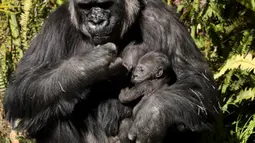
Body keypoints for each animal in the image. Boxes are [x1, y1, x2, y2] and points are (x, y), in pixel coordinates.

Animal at [2, 0, 220, 143]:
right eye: (87, 6)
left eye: (105, 4)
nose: (96, 20)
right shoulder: (55, 25)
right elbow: (22, 86)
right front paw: (87, 66)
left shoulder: (162, 18)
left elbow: (197, 81)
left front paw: (153, 114)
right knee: (50, 107)